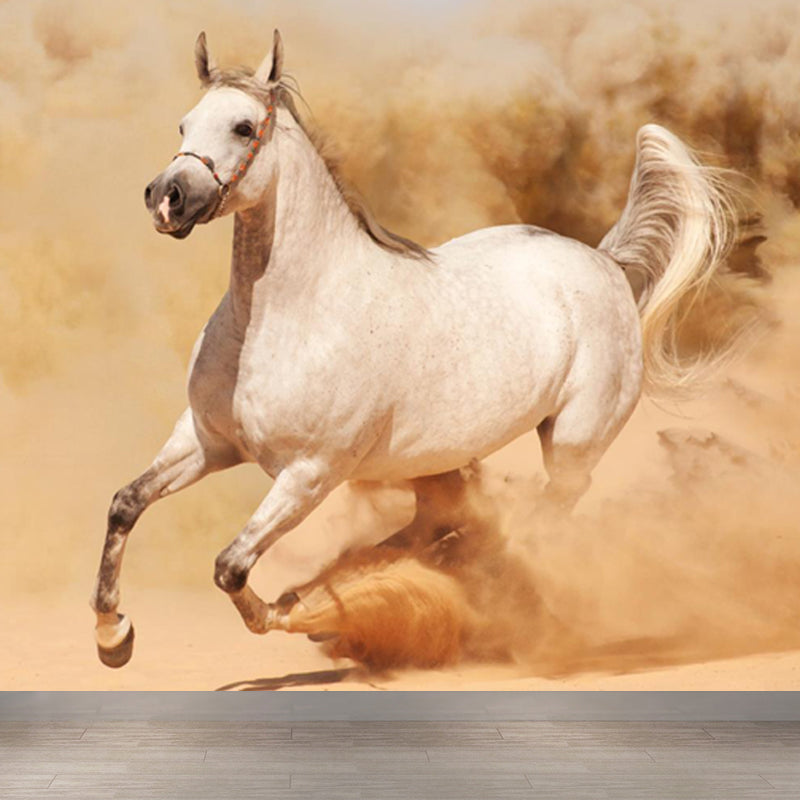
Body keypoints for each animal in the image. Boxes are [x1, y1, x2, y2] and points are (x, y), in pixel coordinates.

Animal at [90, 30, 735, 667]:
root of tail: (604, 263)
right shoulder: (206, 440)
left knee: (534, 522)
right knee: (443, 524)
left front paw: (291, 612)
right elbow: (125, 503)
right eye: (184, 124)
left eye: (243, 127)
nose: (166, 197)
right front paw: (112, 635)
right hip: (442, 462)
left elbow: (231, 567)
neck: (287, 318)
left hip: (573, 445)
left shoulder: (309, 474)